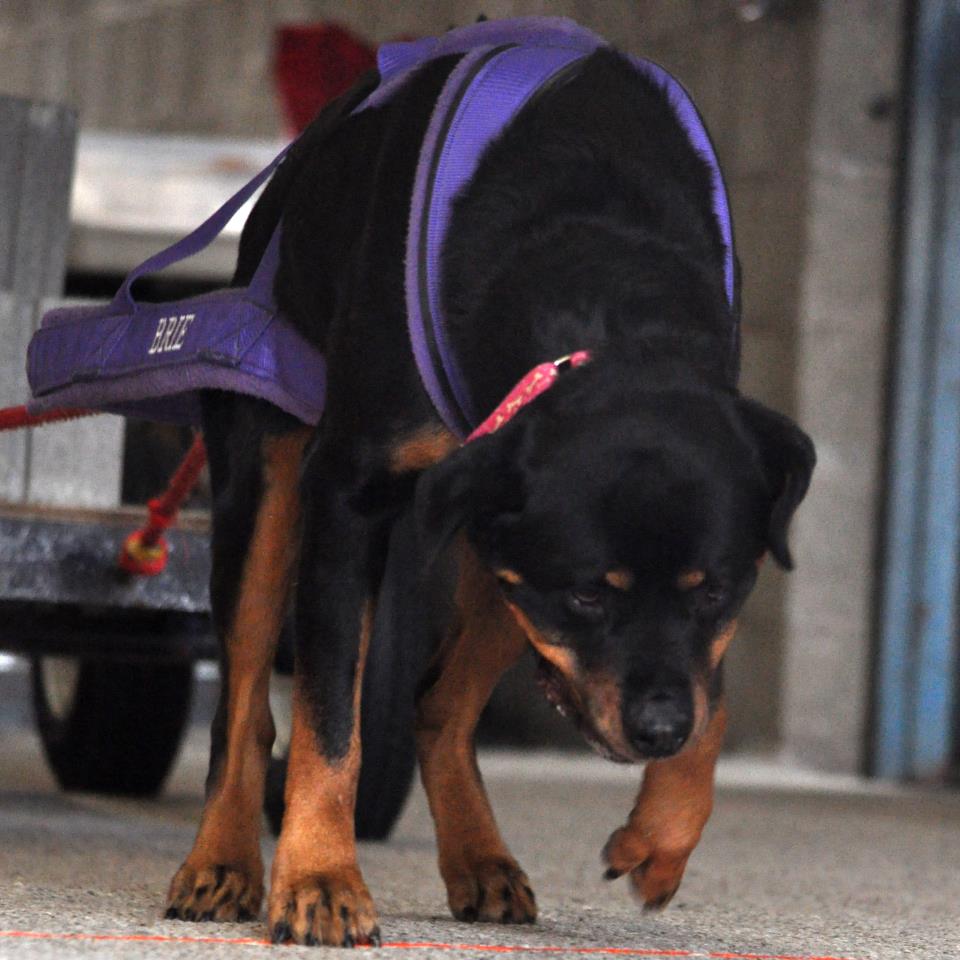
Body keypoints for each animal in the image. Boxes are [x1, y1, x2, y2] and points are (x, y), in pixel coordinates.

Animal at [161, 28, 812, 944]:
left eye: (717, 590)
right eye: (586, 596)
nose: (657, 728)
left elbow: (710, 691)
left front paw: (663, 832)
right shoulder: (347, 498)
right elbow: (330, 720)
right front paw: (320, 878)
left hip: (495, 548)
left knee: (439, 704)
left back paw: (480, 858)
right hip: (267, 477)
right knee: (247, 697)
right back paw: (221, 861)